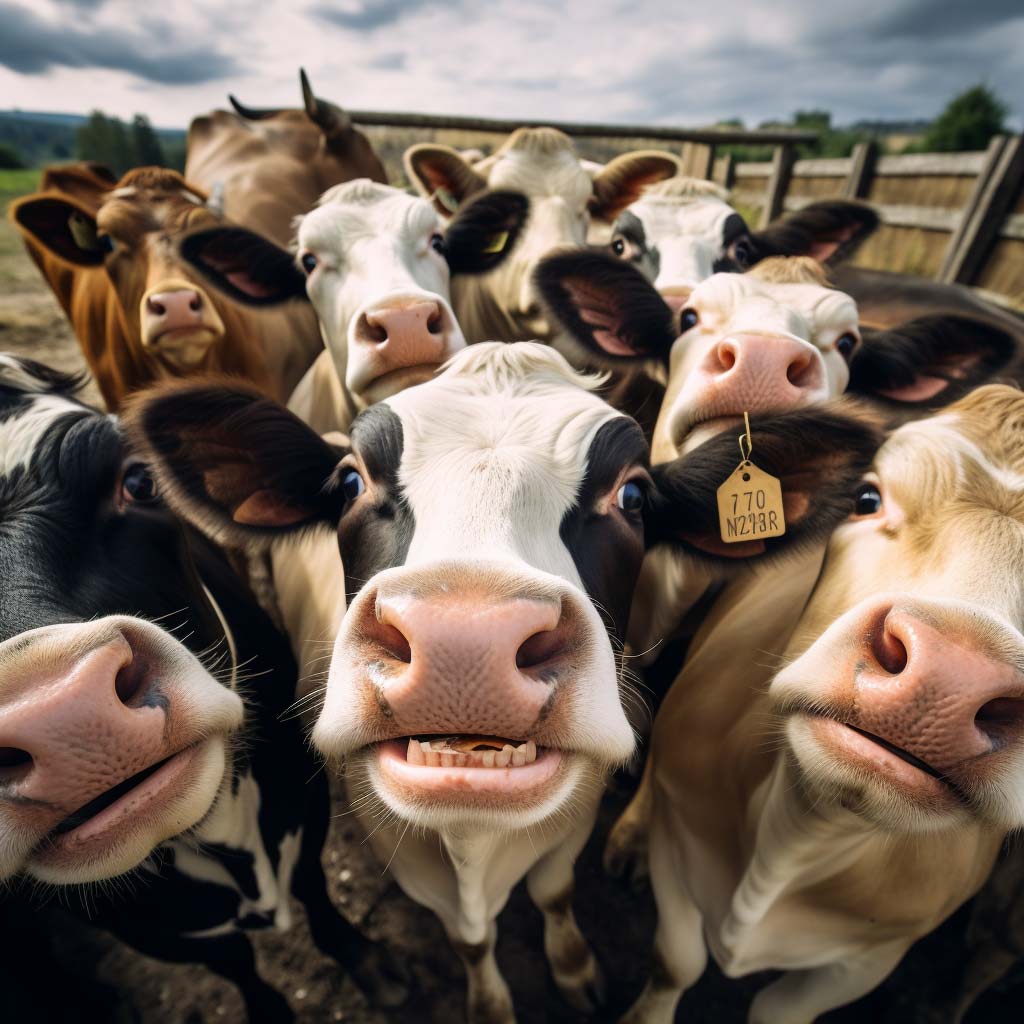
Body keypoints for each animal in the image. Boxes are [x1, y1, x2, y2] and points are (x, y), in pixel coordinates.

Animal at [0, 354, 404, 1022]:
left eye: (138, 482)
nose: (61, 712)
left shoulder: (304, 800)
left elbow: (316, 887)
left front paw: (368, 962)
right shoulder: (154, 928)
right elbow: (236, 964)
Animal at [128, 342, 880, 1022]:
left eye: (634, 493)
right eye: (349, 483)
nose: (465, 643)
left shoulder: (572, 822)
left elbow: (552, 891)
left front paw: (573, 968)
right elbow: (471, 941)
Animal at [619, 384, 1024, 1024]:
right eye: (866, 498)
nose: (950, 675)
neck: (802, 829)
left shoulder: (871, 957)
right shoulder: (676, 856)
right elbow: (674, 963)